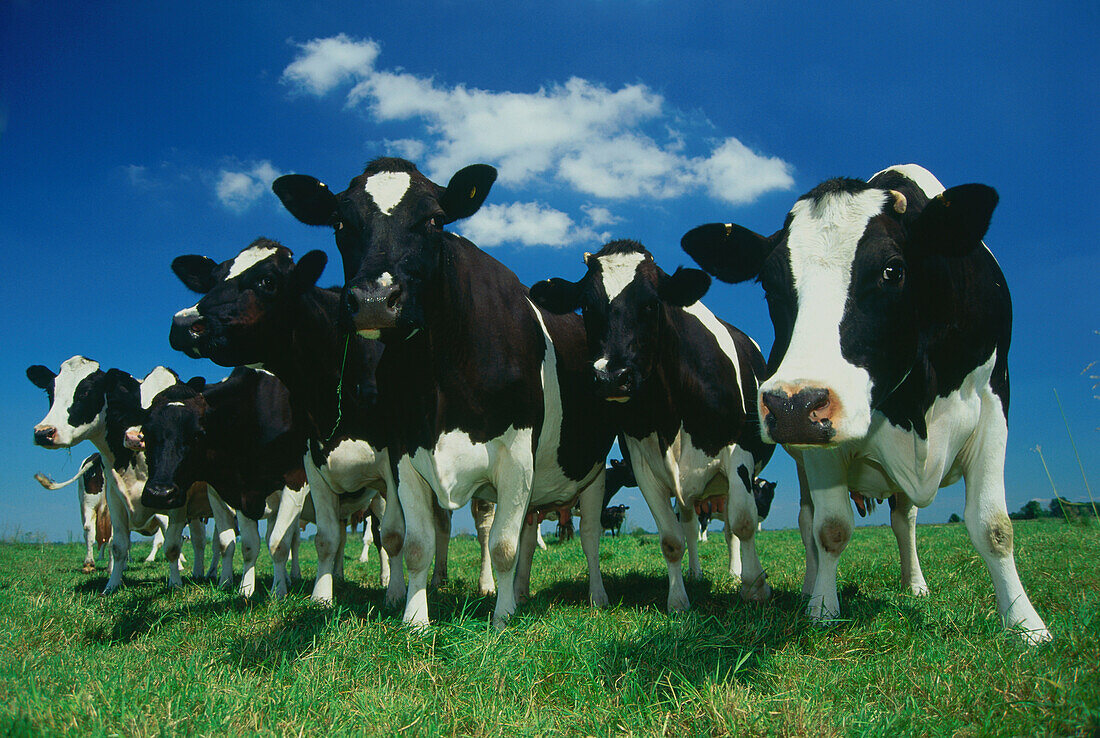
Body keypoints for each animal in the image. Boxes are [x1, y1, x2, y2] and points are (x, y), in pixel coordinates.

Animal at [270, 158, 620, 624]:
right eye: (340, 222)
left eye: (434, 220)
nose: (374, 300)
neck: (439, 369)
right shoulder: (403, 454)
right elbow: (418, 545)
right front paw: (415, 619)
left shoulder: (517, 455)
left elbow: (503, 546)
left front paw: (501, 618)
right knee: (528, 532)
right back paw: (523, 592)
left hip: (593, 471)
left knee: (590, 536)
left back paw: (594, 596)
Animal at [530, 241, 774, 607]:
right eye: (586, 306)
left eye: (651, 303)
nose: (611, 378)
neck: (672, 411)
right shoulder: (644, 465)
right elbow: (671, 539)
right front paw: (678, 601)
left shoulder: (738, 455)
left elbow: (744, 523)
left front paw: (756, 588)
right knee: (689, 523)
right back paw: (696, 573)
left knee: (731, 526)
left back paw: (735, 574)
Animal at [682, 164, 1051, 642]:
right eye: (769, 283)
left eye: (892, 270)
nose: (792, 405)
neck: (916, 398)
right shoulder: (821, 439)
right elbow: (830, 527)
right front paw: (822, 607)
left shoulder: (993, 401)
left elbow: (993, 526)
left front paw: (1026, 624)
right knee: (808, 520)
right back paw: (809, 587)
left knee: (904, 520)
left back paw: (914, 584)